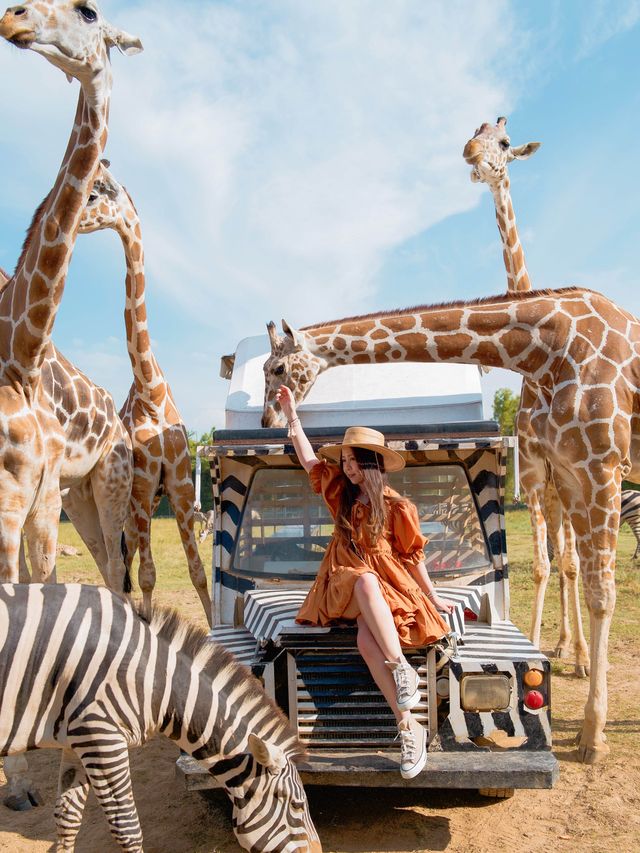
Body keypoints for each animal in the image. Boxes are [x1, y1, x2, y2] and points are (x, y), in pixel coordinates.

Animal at [0, 584, 320, 852]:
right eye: (296, 805)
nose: (318, 852)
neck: (152, 675)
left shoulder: (75, 739)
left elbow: (67, 817)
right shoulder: (101, 737)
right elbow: (127, 827)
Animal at [77, 161, 212, 624]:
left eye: (95, 194)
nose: (72, 219)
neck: (151, 390)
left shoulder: (180, 483)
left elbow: (198, 571)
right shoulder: (142, 483)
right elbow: (150, 574)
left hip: (150, 504)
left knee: (127, 557)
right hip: (135, 503)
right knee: (125, 561)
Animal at [258, 290, 640, 764]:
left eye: (276, 369)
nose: (268, 421)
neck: (545, 349)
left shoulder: (602, 464)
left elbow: (600, 592)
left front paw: (592, 735)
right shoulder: (567, 469)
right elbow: (573, 570)